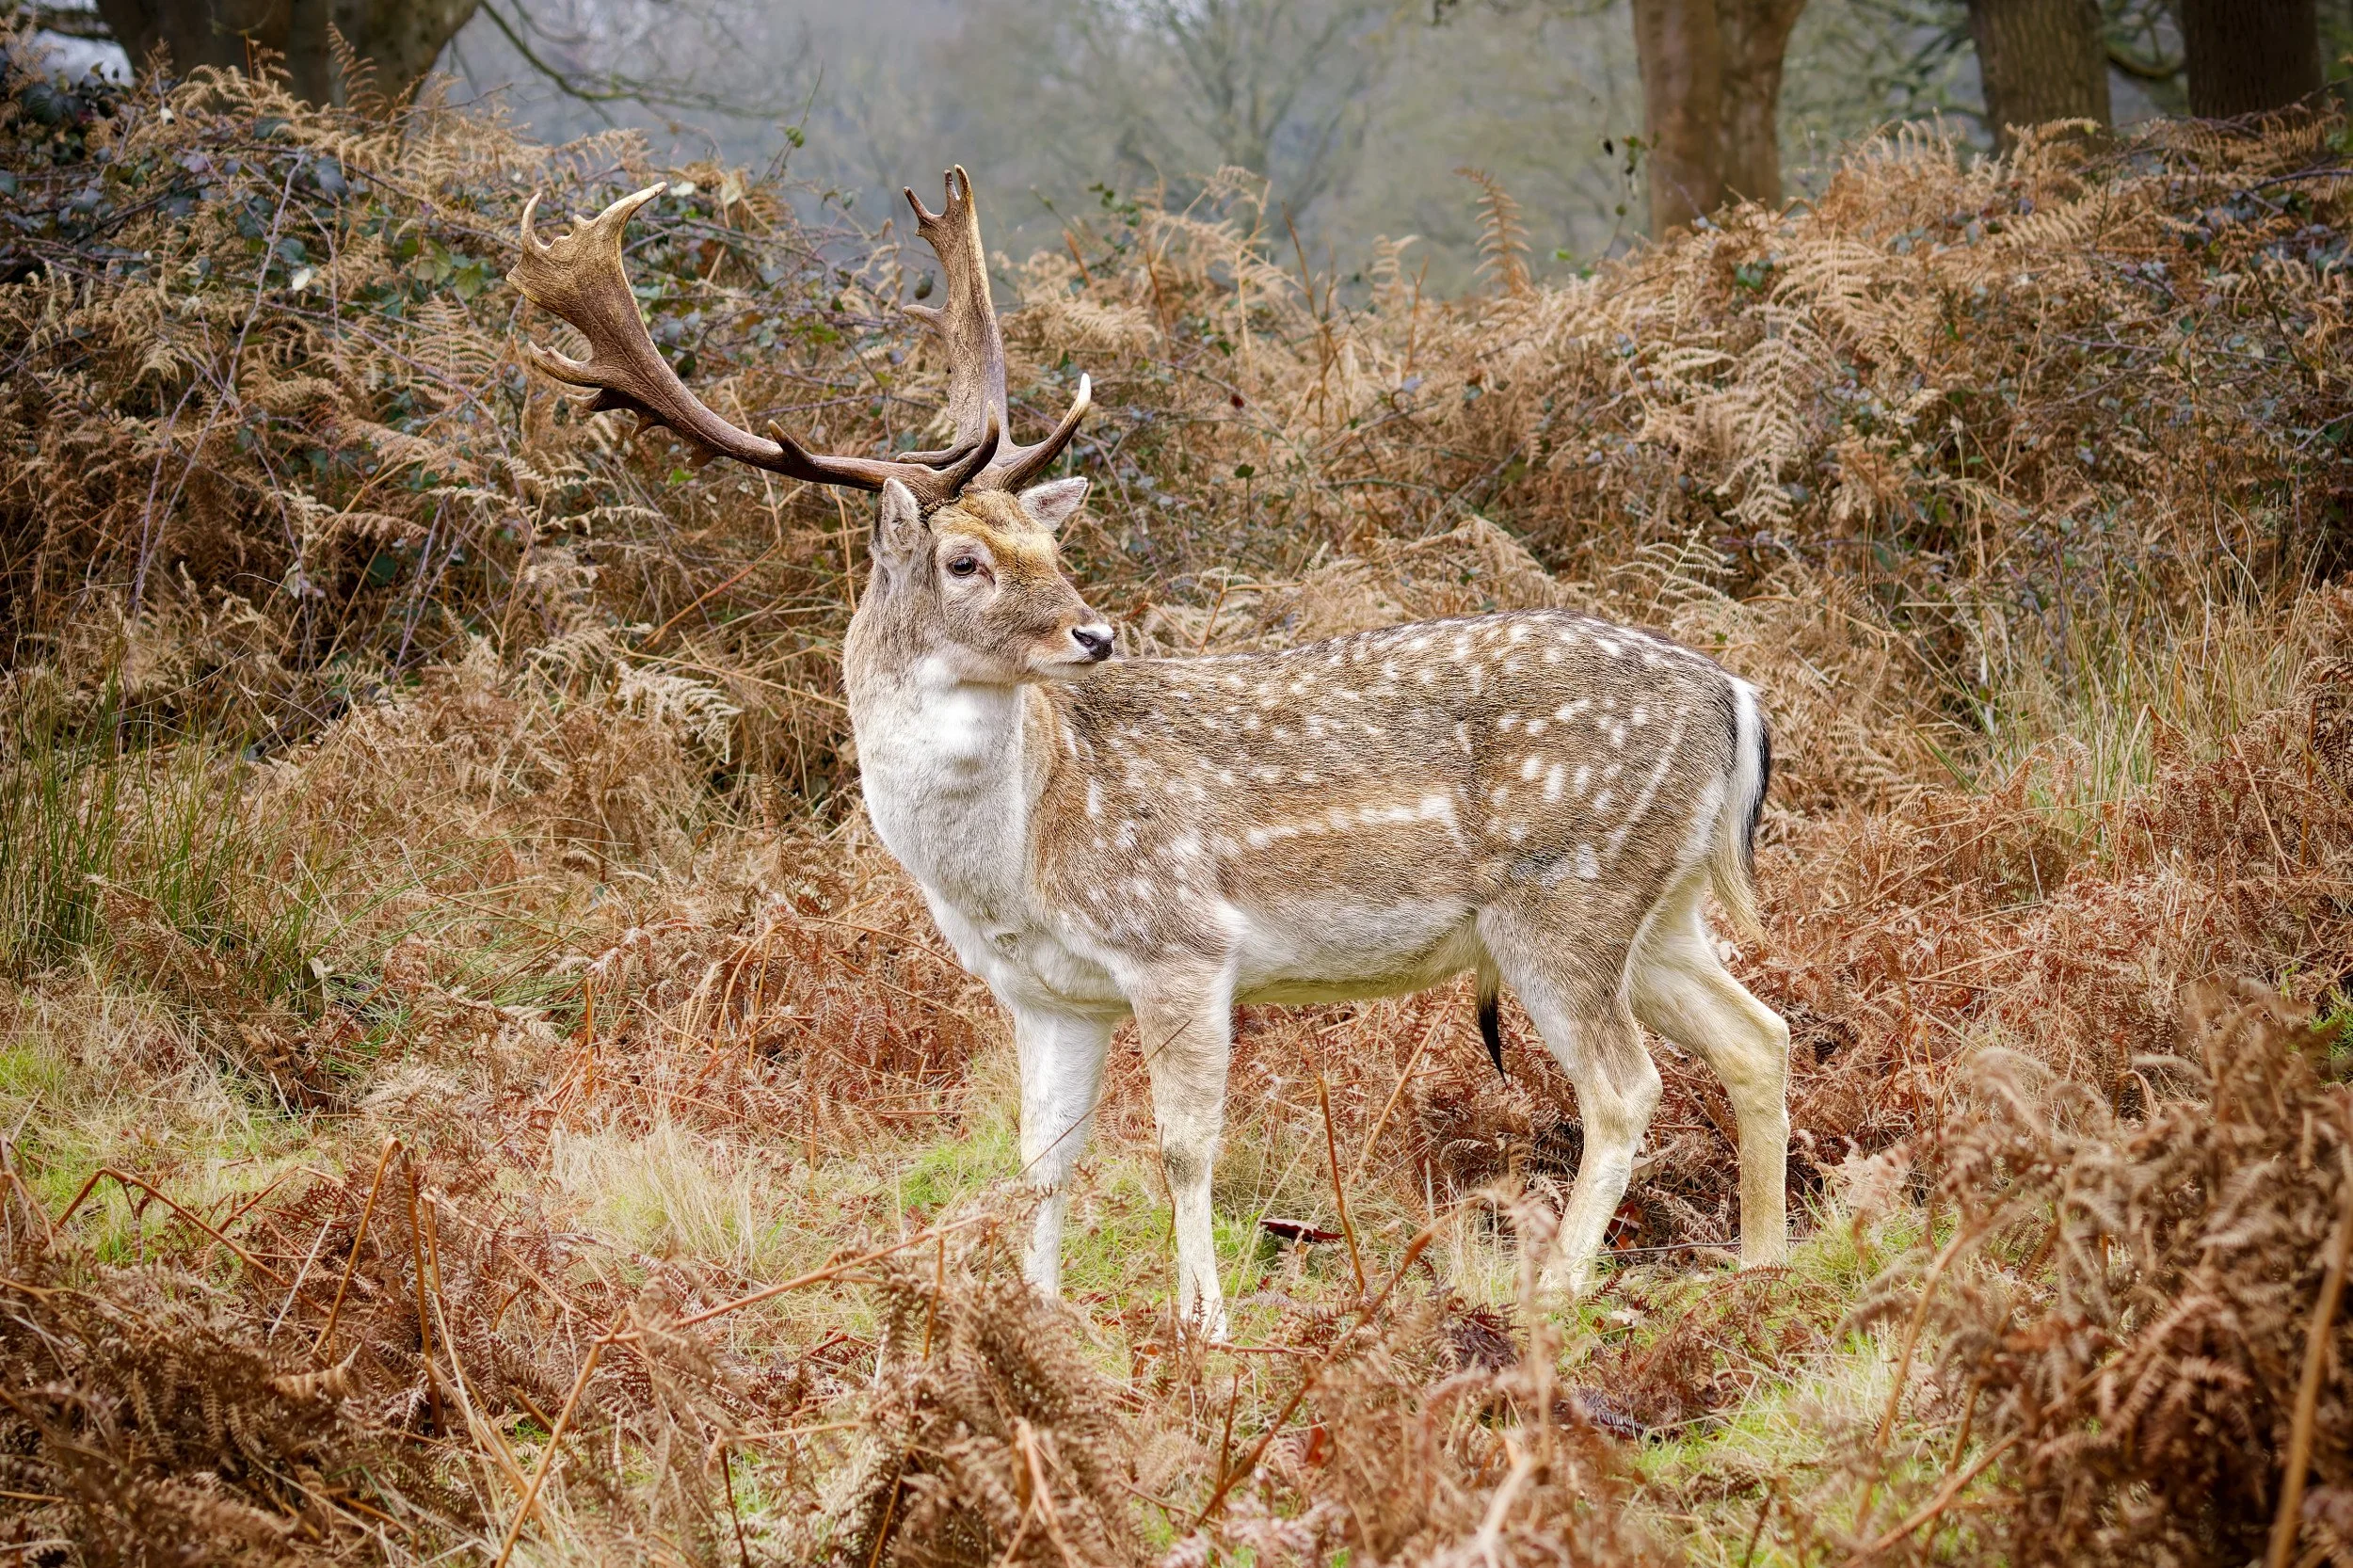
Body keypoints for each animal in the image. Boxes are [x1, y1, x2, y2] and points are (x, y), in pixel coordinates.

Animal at [512, 169, 1791, 1336]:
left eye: (1047, 544)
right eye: (967, 560)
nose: (1094, 632)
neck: (1015, 859)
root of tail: (1732, 693)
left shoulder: (1179, 941)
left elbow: (1182, 1148)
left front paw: (1204, 1323)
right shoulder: (1046, 995)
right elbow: (1042, 1157)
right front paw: (1036, 1317)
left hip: (1562, 893)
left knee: (1626, 1085)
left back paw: (1560, 1289)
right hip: (1658, 907)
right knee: (1758, 1034)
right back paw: (1763, 1265)